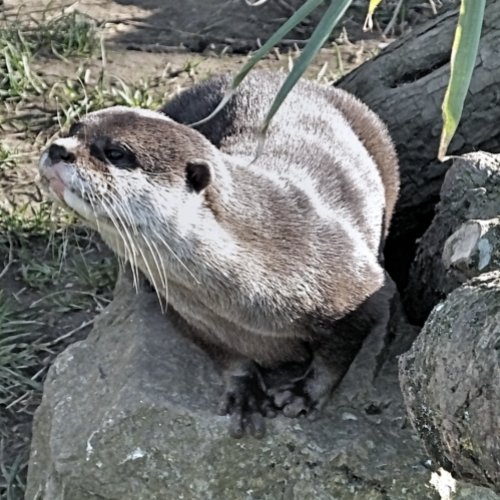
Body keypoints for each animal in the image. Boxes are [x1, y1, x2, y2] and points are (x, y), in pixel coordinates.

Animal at [38, 70, 398, 438]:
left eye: (115, 152)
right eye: (73, 128)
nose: (58, 148)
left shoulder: (359, 286)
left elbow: (340, 351)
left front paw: (304, 394)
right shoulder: (190, 315)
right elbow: (224, 354)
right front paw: (244, 392)